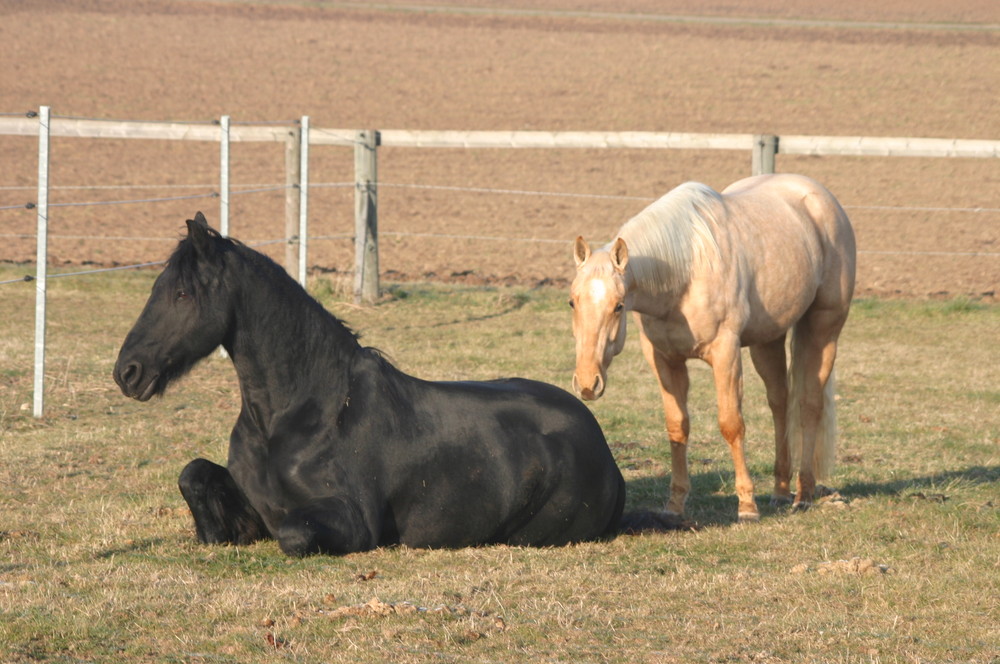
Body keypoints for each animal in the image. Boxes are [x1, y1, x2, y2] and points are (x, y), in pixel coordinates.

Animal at [115, 214, 624, 556]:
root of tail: (606, 455)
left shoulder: (351, 522)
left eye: (182, 294)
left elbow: (293, 534)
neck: (303, 414)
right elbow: (194, 476)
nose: (127, 372)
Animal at [568, 174, 856, 520]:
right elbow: (677, 427)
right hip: (768, 340)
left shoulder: (725, 354)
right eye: (572, 302)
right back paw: (780, 491)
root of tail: (820, 197)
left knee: (809, 405)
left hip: (824, 329)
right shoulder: (665, 360)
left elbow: (731, 424)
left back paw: (804, 494)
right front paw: (675, 505)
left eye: (618, 306)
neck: (685, 272)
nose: (588, 384)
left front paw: (747, 506)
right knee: (779, 403)